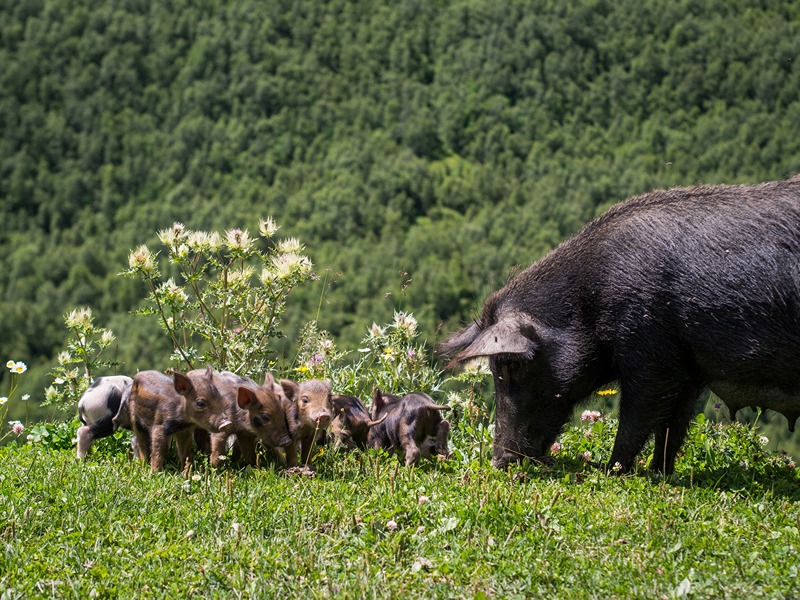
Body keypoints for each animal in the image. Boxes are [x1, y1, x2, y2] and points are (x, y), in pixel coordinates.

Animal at [441, 175, 800, 475]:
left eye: (511, 365)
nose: (499, 461)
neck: (588, 299)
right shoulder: (687, 369)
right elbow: (672, 425)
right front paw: (660, 474)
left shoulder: (651, 353)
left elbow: (636, 418)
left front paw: (609, 471)